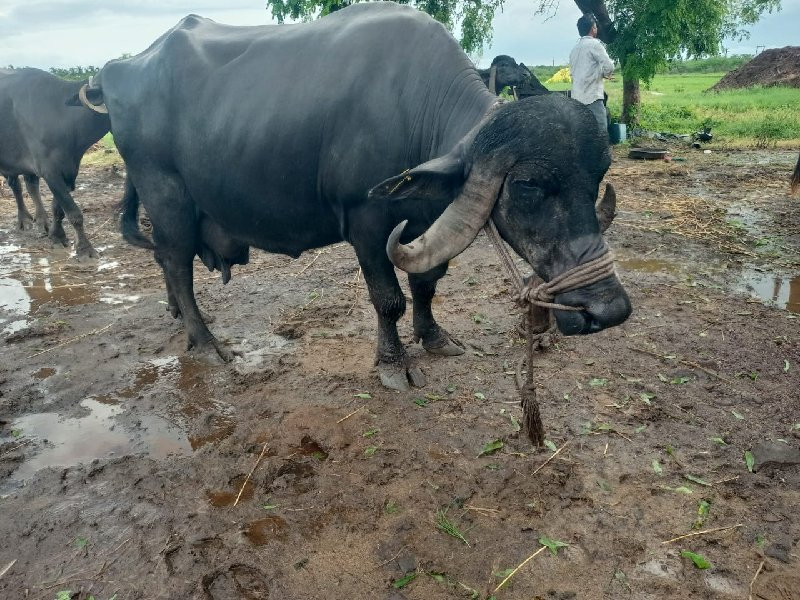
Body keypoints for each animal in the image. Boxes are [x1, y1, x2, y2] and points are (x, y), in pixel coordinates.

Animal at [81, 3, 632, 390]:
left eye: (597, 176)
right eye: (528, 185)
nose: (606, 310)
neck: (415, 109)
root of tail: (117, 71)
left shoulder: (427, 215)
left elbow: (426, 285)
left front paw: (434, 338)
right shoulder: (366, 224)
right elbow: (388, 299)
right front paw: (394, 364)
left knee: (166, 260)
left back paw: (180, 317)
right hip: (165, 193)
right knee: (175, 260)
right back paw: (205, 341)